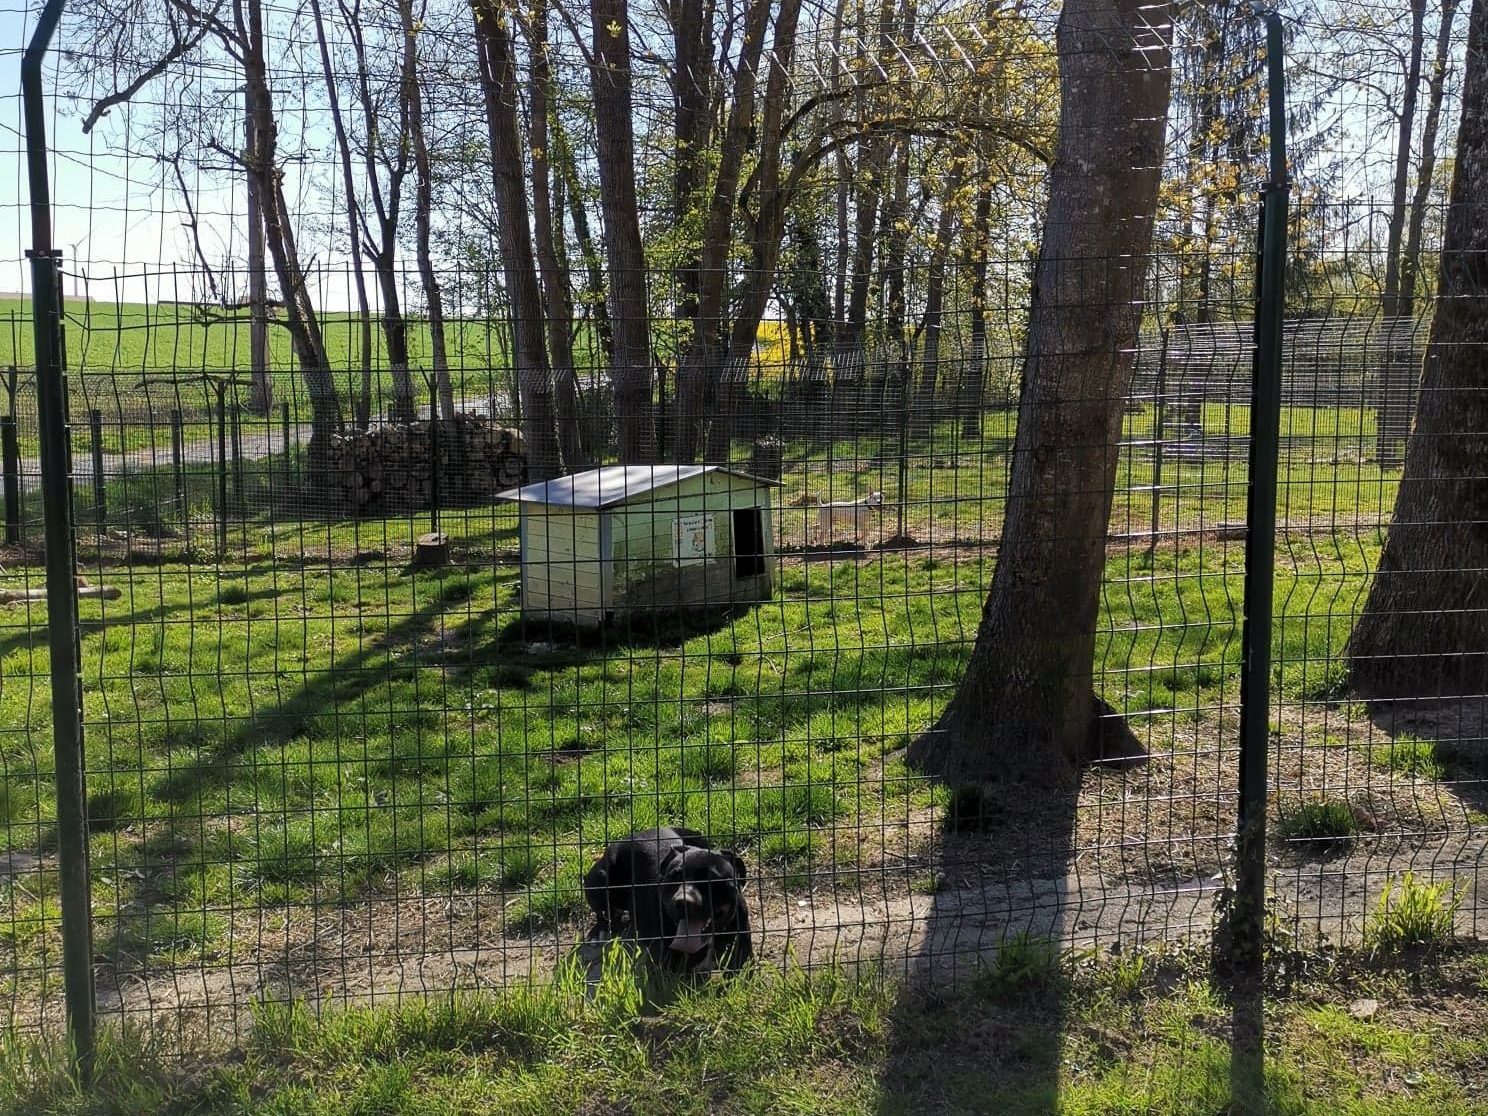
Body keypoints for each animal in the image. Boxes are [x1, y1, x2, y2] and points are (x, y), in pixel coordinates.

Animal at [583, 827, 755, 976]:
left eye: (712, 879)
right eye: (674, 877)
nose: (683, 901)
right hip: (599, 877)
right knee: (604, 911)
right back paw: (600, 932)